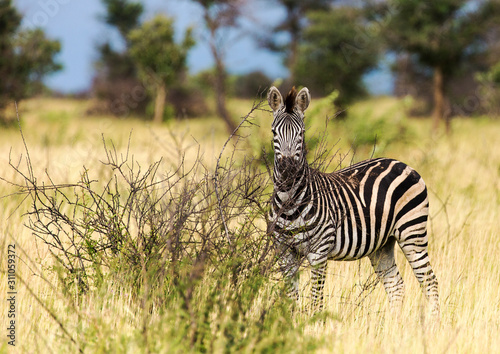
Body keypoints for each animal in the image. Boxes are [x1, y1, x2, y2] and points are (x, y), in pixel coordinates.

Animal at [270, 85, 438, 316]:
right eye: (274, 132)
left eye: (302, 133)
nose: (288, 172)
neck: (290, 205)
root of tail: (401, 163)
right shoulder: (284, 253)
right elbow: (291, 299)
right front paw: (290, 323)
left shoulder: (319, 251)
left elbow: (316, 300)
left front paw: (315, 323)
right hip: (382, 245)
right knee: (396, 286)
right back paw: (394, 325)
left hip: (412, 233)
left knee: (430, 282)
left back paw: (433, 323)